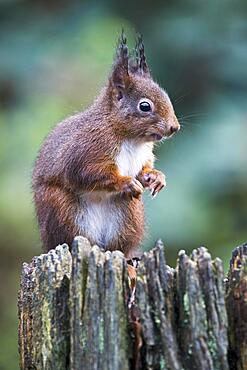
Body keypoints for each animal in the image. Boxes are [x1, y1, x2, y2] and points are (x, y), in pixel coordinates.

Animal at [32, 33, 179, 258]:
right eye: (144, 106)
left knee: (119, 246)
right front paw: (126, 182)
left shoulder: (144, 156)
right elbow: (88, 173)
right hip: (61, 210)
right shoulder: (88, 150)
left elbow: (144, 169)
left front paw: (155, 177)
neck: (131, 139)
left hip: (130, 217)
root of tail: (98, 245)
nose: (174, 127)